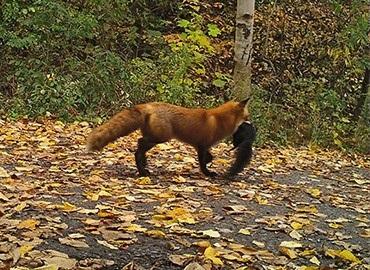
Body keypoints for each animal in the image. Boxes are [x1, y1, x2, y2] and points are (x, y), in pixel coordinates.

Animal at [85, 99, 250, 177]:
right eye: (247, 117)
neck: (220, 120)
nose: (251, 124)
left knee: (140, 145)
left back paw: (143, 166)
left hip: (155, 137)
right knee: (139, 146)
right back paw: (142, 170)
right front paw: (208, 173)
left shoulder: (201, 146)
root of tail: (149, 105)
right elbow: (203, 162)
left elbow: (207, 158)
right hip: (161, 138)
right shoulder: (202, 145)